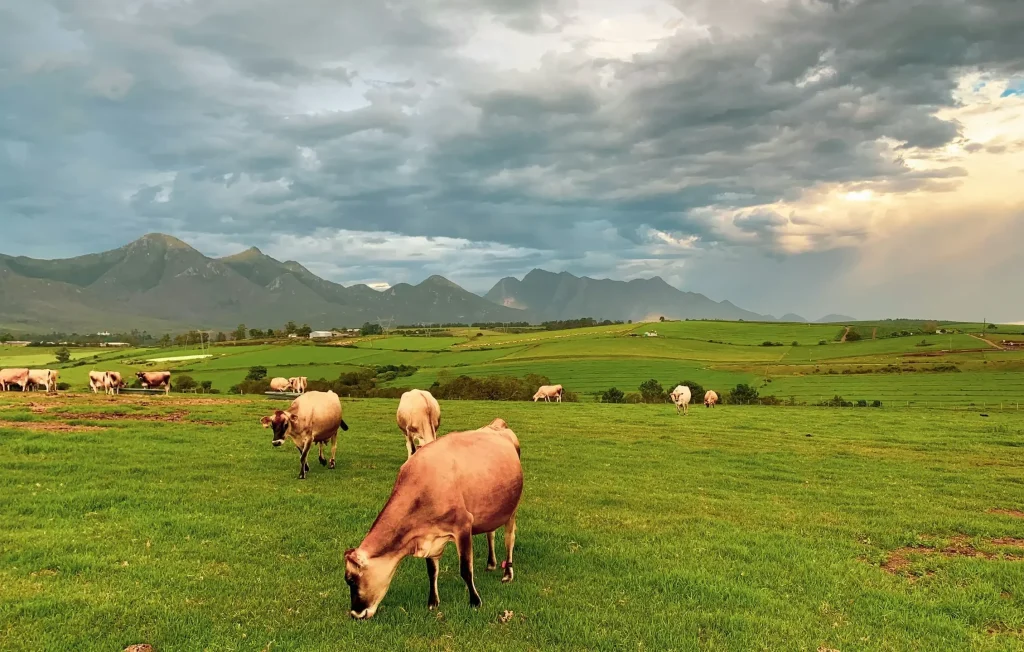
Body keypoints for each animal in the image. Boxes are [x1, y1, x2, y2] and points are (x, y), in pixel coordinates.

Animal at [345, 418, 522, 619]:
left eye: (351, 580)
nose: (355, 614)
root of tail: (497, 424)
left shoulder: (463, 526)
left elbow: (465, 569)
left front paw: (475, 601)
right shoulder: (430, 534)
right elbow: (432, 571)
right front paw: (433, 602)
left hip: (512, 509)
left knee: (509, 539)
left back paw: (507, 573)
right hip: (490, 509)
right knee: (490, 533)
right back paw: (491, 564)